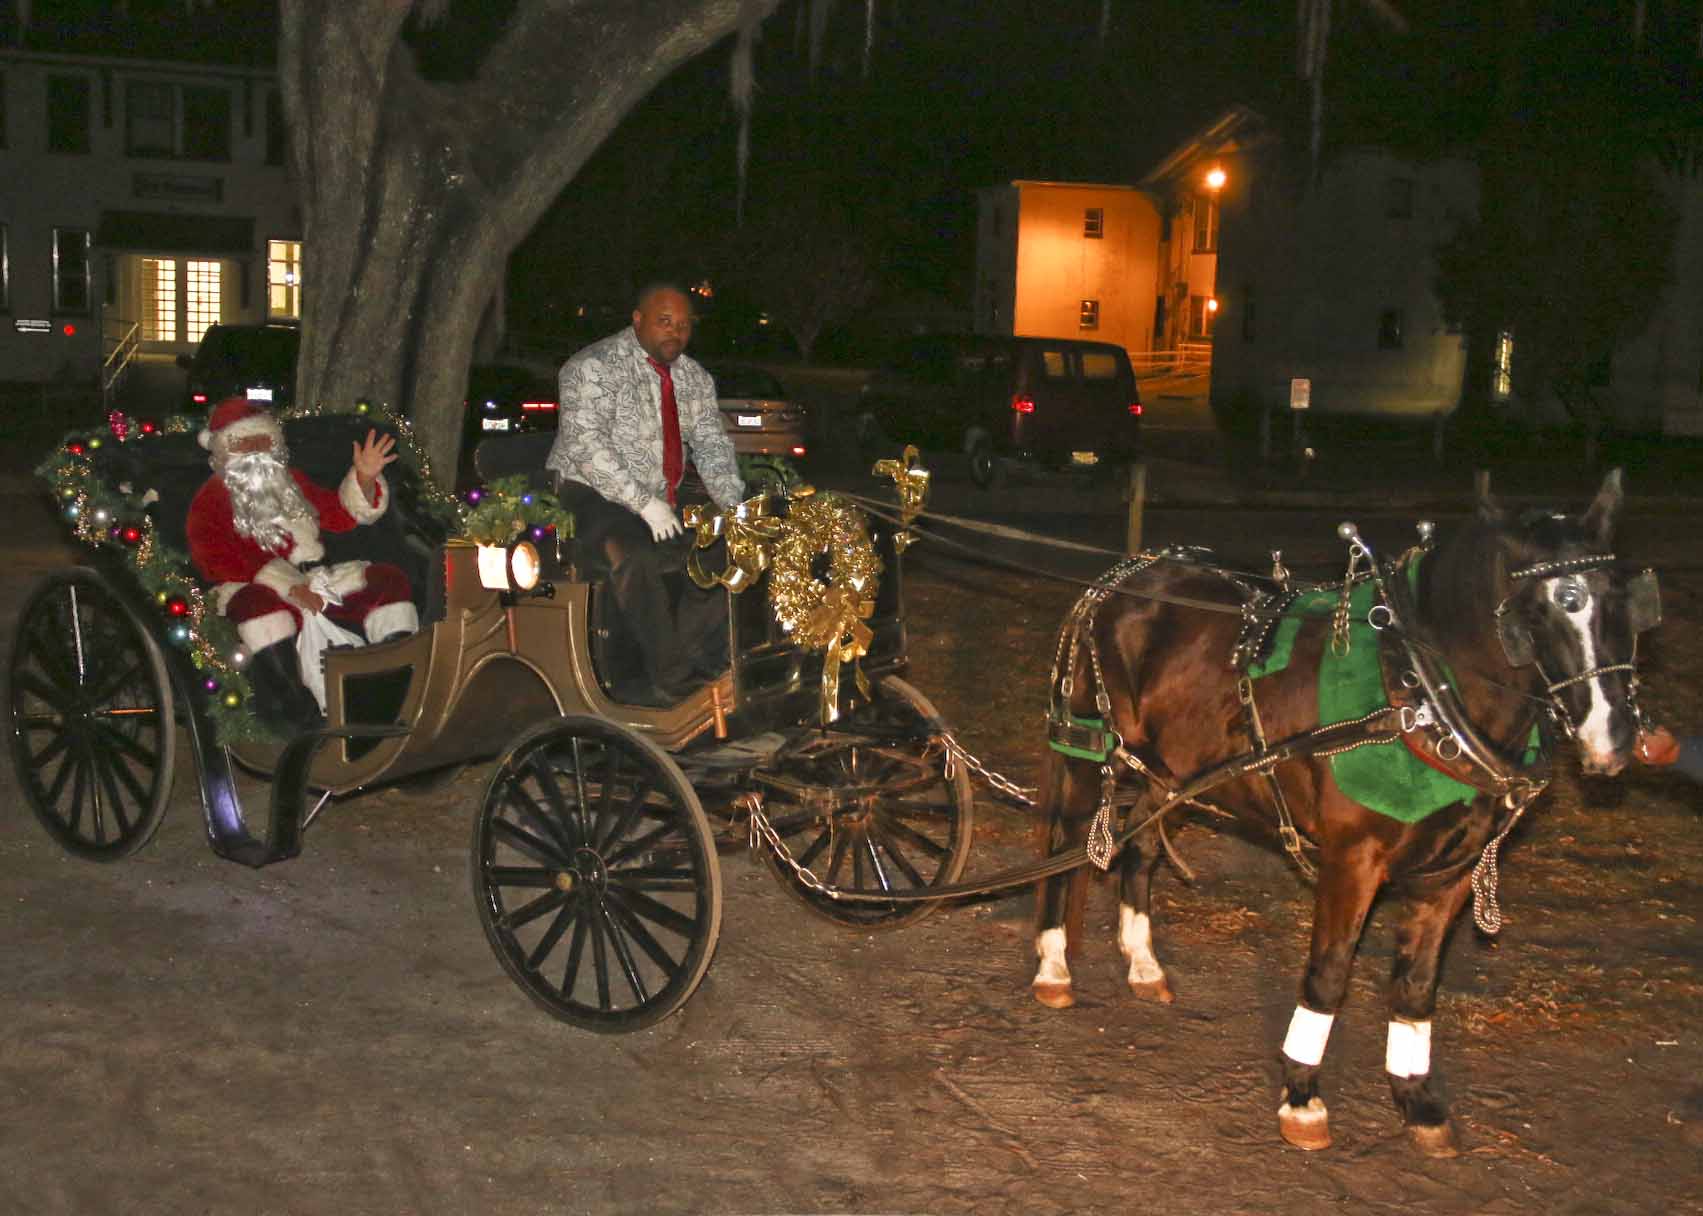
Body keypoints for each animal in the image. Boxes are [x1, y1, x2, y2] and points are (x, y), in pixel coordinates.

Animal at [1028, 470, 1655, 1151]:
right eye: (1538, 611)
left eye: (1625, 603)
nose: (1612, 738)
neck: (1419, 693)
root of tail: (1124, 573)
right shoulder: (1352, 860)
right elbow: (1328, 974)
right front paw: (1302, 1096)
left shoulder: (1452, 874)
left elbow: (1416, 986)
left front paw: (1416, 1098)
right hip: (1089, 747)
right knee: (1066, 848)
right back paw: (1054, 965)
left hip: (1172, 769)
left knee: (1141, 847)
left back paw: (1143, 962)